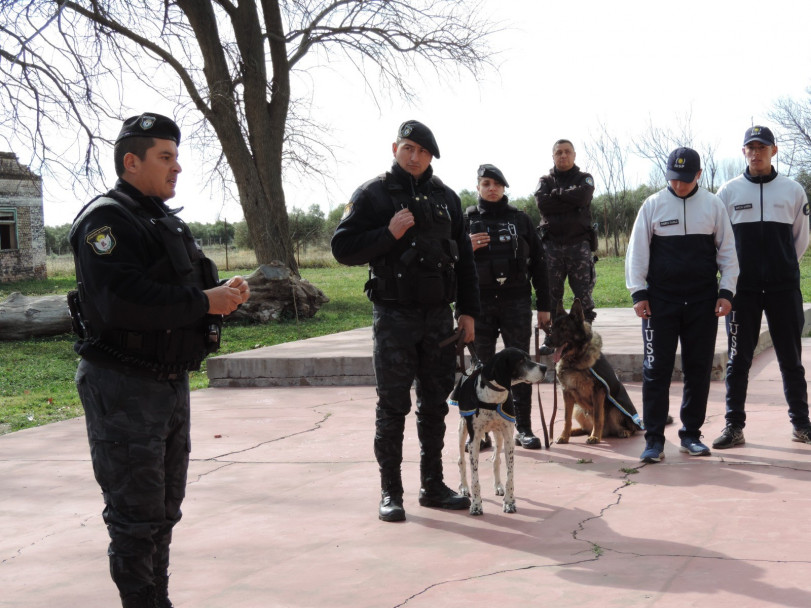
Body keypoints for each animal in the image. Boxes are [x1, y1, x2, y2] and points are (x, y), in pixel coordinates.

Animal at [450, 350, 544, 516]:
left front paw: (509, 502)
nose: (544, 367)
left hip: (498, 435)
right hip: (463, 430)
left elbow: (510, 476)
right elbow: (475, 479)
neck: (493, 396)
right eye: (521, 361)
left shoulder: (508, 438)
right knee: (461, 460)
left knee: (495, 460)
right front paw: (476, 505)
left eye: (528, 357)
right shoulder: (474, 441)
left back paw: (498, 486)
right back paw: (464, 488)